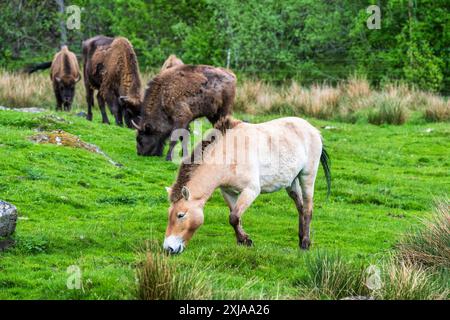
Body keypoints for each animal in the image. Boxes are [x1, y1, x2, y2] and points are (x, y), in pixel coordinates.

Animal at [163, 116, 330, 254]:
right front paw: (242, 241)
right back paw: (301, 239)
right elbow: (235, 217)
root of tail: (313, 129)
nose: (168, 248)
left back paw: (306, 243)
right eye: (169, 214)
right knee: (300, 207)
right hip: (291, 182)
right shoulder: (228, 192)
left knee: (308, 209)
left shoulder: (250, 190)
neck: (229, 155)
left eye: (181, 215)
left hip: (307, 176)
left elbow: (234, 217)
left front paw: (246, 240)